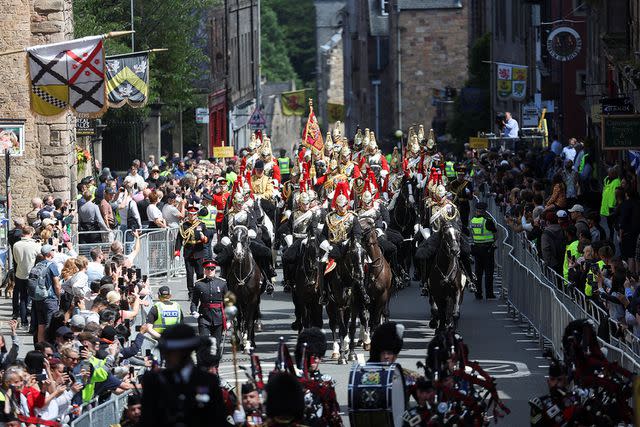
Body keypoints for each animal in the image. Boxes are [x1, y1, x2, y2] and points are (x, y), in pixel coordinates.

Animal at [358, 219, 392, 350]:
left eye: (367, 227)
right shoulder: (365, 297)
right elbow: (365, 318)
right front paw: (366, 339)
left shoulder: (382, 296)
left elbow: (376, 317)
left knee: (382, 313)